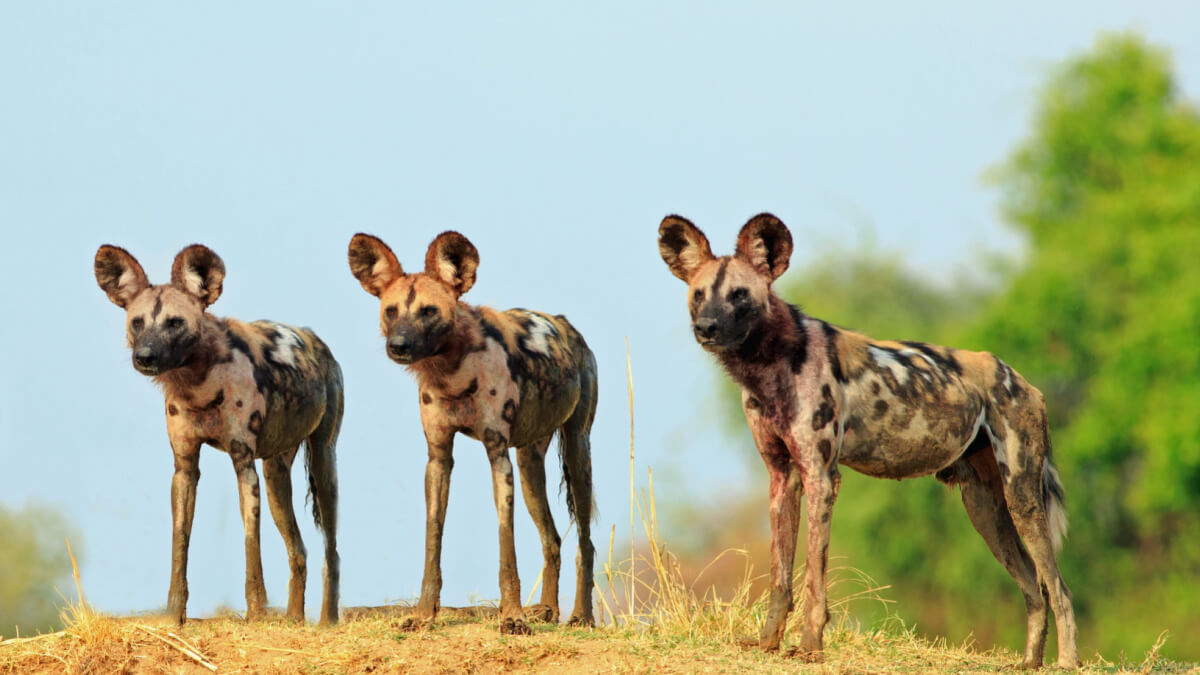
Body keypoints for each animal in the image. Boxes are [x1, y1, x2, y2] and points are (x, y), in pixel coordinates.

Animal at [94, 241, 343, 624]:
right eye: (137, 322)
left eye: (175, 323)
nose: (145, 357)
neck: (197, 386)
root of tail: (316, 339)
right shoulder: (185, 469)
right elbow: (179, 543)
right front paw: (174, 615)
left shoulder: (243, 464)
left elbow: (251, 546)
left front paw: (255, 613)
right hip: (275, 477)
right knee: (298, 550)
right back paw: (294, 620)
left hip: (322, 463)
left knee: (332, 550)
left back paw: (327, 621)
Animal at [350, 229, 597, 629]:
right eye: (391, 311)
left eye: (429, 311)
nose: (398, 345)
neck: (452, 374)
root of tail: (565, 324)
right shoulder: (438, 460)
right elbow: (432, 541)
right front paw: (424, 615)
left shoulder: (498, 456)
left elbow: (506, 549)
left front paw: (512, 618)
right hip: (529, 467)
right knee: (553, 539)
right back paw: (547, 610)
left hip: (577, 452)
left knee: (585, 542)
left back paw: (581, 616)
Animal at [662, 212, 1084, 662]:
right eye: (699, 294)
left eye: (739, 295)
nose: (706, 327)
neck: (769, 366)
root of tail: (1017, 376)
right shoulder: (782, 477)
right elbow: (780, 577)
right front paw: (767, 643)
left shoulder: (821, 477)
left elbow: (813, 579)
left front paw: (810, 647)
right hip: (985, 508)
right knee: (1035, 589)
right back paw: (1029, 664)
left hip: (1022, 499)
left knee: (1059, 589)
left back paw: (1065, 664)